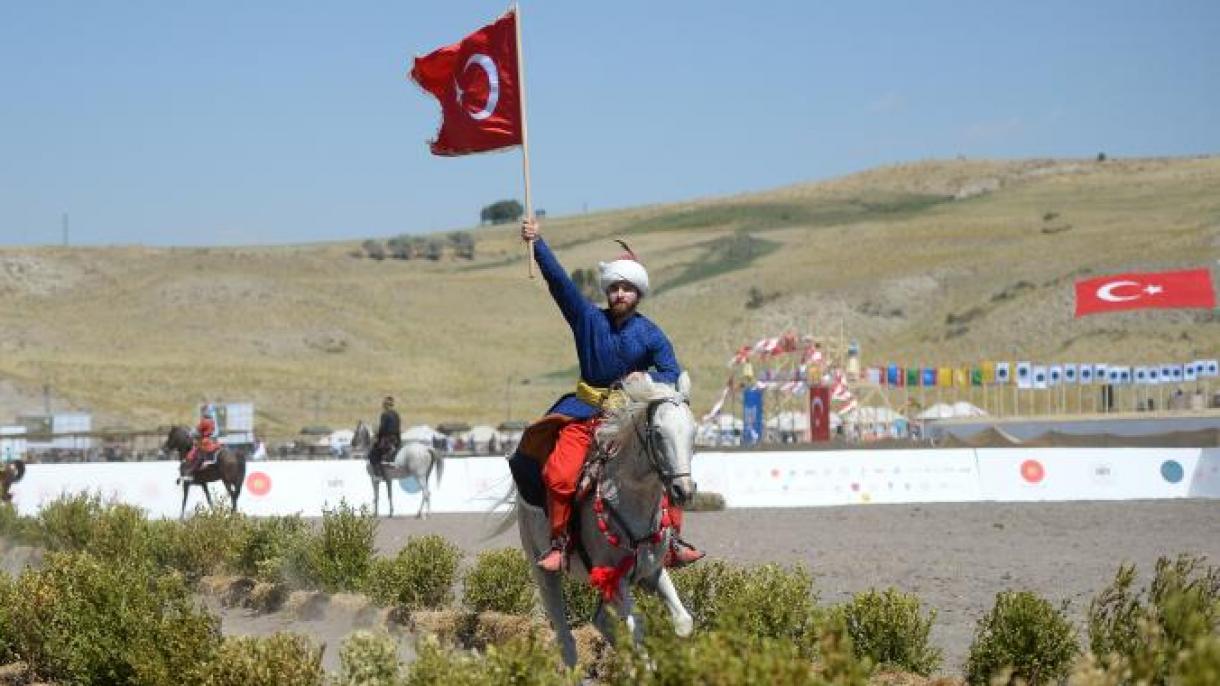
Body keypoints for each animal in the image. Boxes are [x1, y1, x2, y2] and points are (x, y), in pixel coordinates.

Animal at [512, 371, 697, 664]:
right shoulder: (615, 578)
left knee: (601, 621)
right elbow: (636, 628)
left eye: (693, 432)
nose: (684, 490)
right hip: (542, 571)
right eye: (657, 433)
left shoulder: (651, 571)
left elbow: (682, 621)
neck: (632, 499)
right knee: (566, 639)